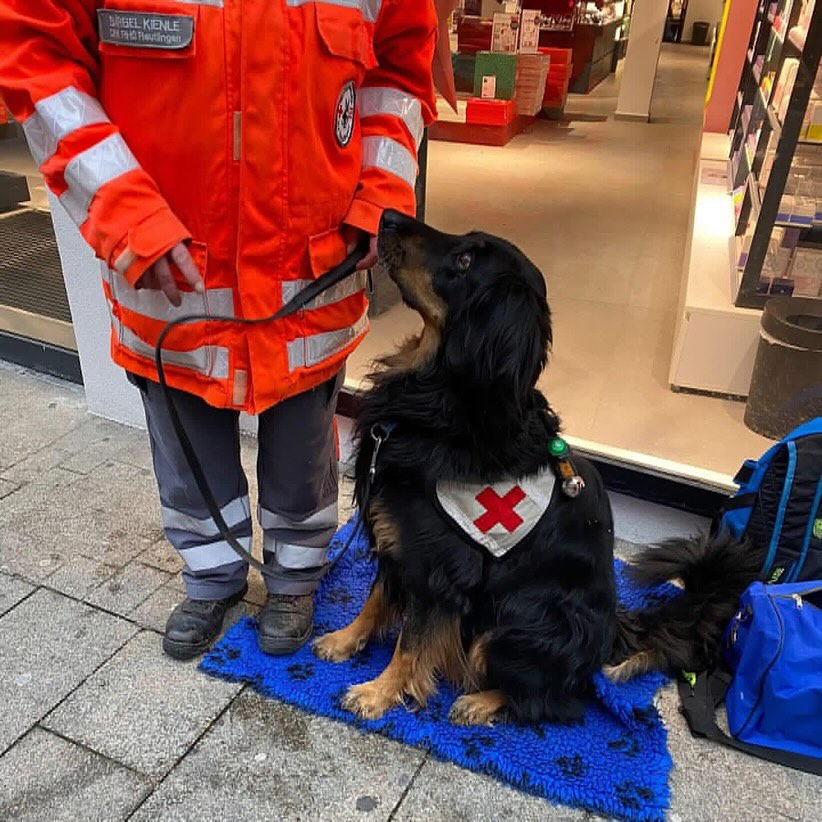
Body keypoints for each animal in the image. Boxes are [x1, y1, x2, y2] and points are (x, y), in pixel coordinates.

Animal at [314, 211, 616, 728]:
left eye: (465, 262)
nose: (387, 216)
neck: (443, 400)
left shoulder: (438, 567)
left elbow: (411, 640)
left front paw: (378, 693)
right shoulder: (397, 539)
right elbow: (376, 598)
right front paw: (344, 639)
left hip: (527, 616)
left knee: (550, 699)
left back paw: (479, 702)